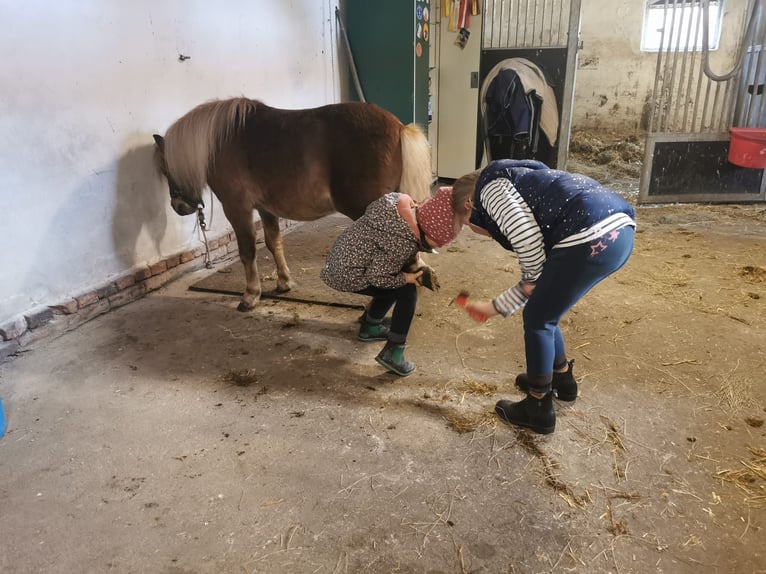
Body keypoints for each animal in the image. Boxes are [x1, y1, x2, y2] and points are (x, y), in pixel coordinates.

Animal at [153, 100, 436, 316]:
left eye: (166, 168)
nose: (179, 206)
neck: (220, 142)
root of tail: (398, 127)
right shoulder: (266, 208)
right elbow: (274, 243)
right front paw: (284, 282)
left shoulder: (237, 208)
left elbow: (247, 252)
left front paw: (250, 296)